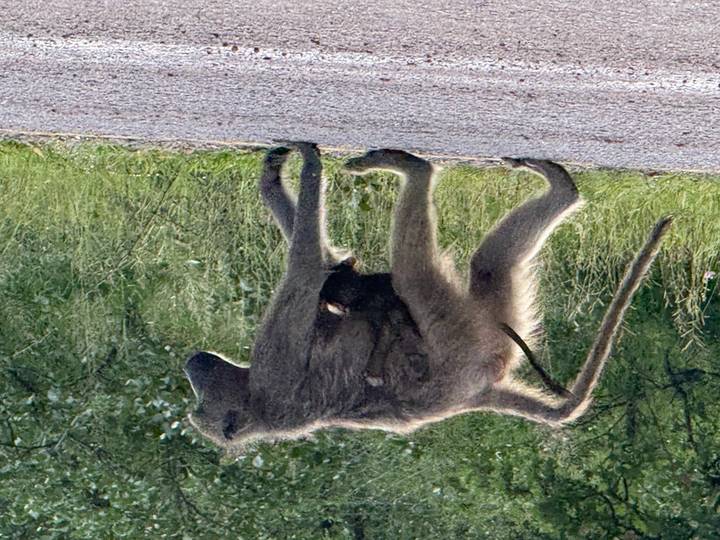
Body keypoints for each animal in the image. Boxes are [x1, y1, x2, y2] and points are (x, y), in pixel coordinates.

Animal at [184, 143, 671, 448]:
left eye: (198, 398)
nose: (193, 363)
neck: (258, 407)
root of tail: (476, 395)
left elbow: (323, 266)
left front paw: (275, 175)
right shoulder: (275, 377)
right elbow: (305, 274)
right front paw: (308, 166)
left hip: (482, 331)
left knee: (485, 265)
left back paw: (560, 187)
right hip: (457, 341)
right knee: (413, 274)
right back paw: (418, 171)